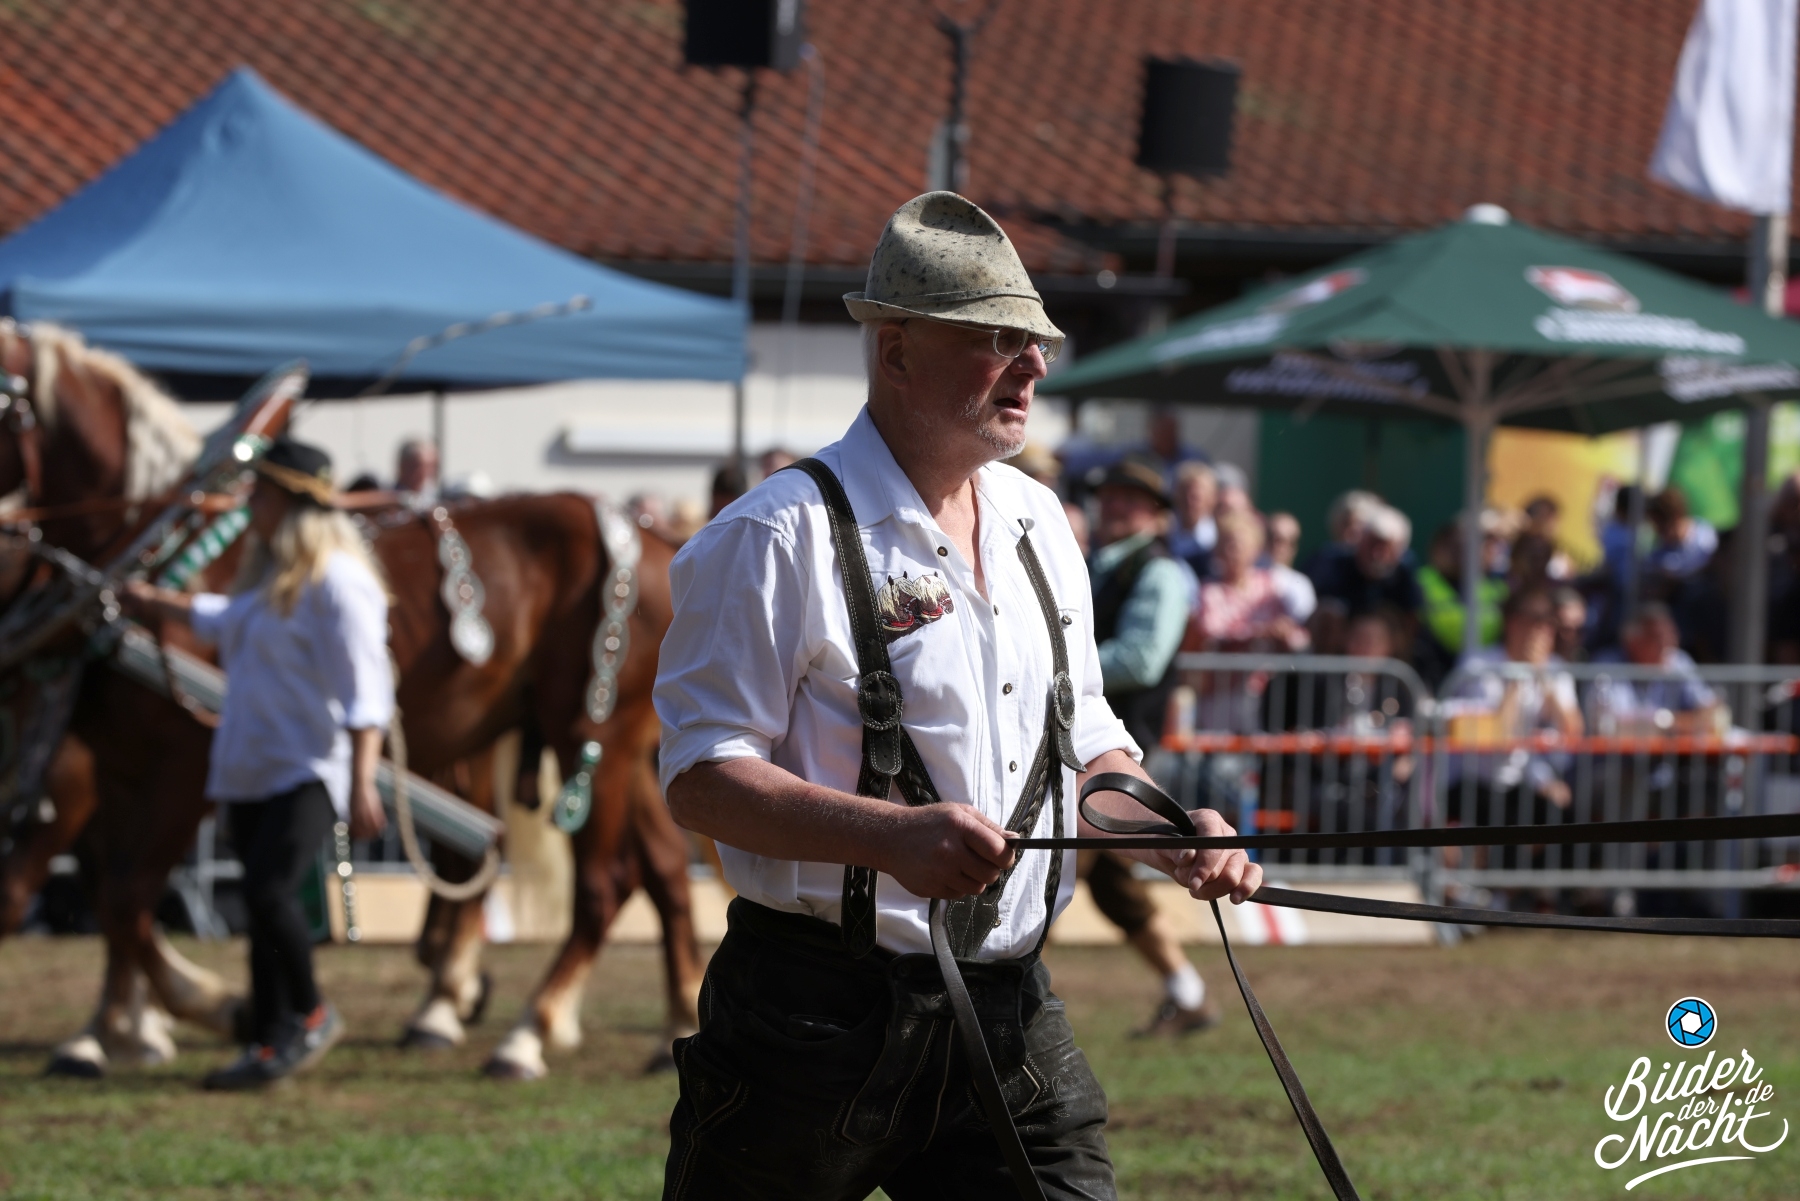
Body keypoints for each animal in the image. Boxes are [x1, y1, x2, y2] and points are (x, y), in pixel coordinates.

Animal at [0, 320, 702, 1079]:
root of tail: (662, 539)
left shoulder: (179, 769)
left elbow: (125, 900)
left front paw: (206, 1008)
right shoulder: (111, 769)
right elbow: (109, 898)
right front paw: (116, 1028)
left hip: (589, 734)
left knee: (603, 881)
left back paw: (526, 1032)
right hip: (624, 749)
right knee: (662, 868)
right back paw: (671, 1020)